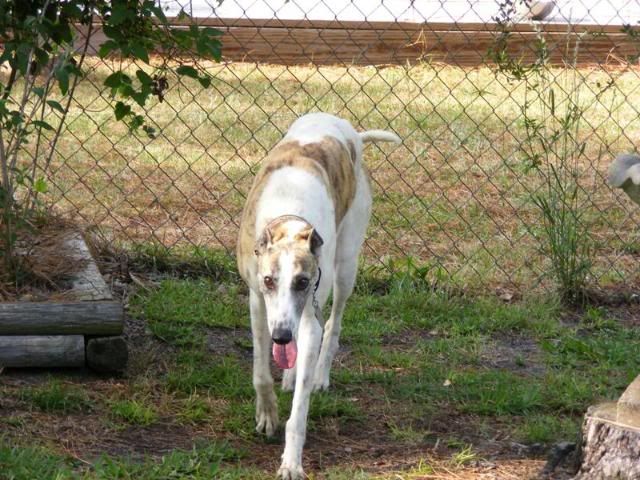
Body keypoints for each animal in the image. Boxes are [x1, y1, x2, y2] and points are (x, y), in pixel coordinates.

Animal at [238, 111, 398, 476]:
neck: (289, 219)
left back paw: (318, 375)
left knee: (333, 325)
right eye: (269, 280)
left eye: (302, 282)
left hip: (346, 267)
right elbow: (260, 373)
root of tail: (350, 130)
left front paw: (291, 462)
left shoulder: (308, 312)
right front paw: (267, 413)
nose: (281, 336)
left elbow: (299, 411)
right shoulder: (258, 302)